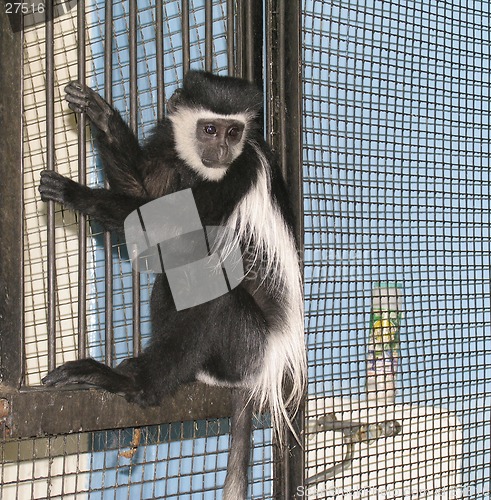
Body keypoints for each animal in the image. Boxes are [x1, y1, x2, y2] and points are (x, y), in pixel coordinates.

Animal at [39, 71, 308, 500]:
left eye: (234, 132)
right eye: (210, 129)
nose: (222, 149)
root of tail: (269, 362)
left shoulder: (239, 171)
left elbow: (172, 228)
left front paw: (75, 193)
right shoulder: (168, 143)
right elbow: (148, 197)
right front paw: (104, 119)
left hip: (248, 344)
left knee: (212, 292)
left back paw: (130, 381)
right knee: (173, 280)